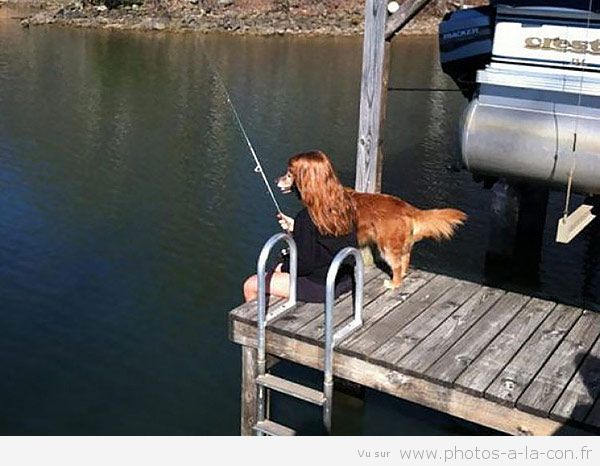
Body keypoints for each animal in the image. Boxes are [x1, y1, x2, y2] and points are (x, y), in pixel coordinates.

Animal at [274, 151, 466, 290]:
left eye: (289, 174)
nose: (276, 179)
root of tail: (406, 207)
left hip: (387, 246)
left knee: (397, 265)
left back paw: (394, 284)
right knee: (405, 258)